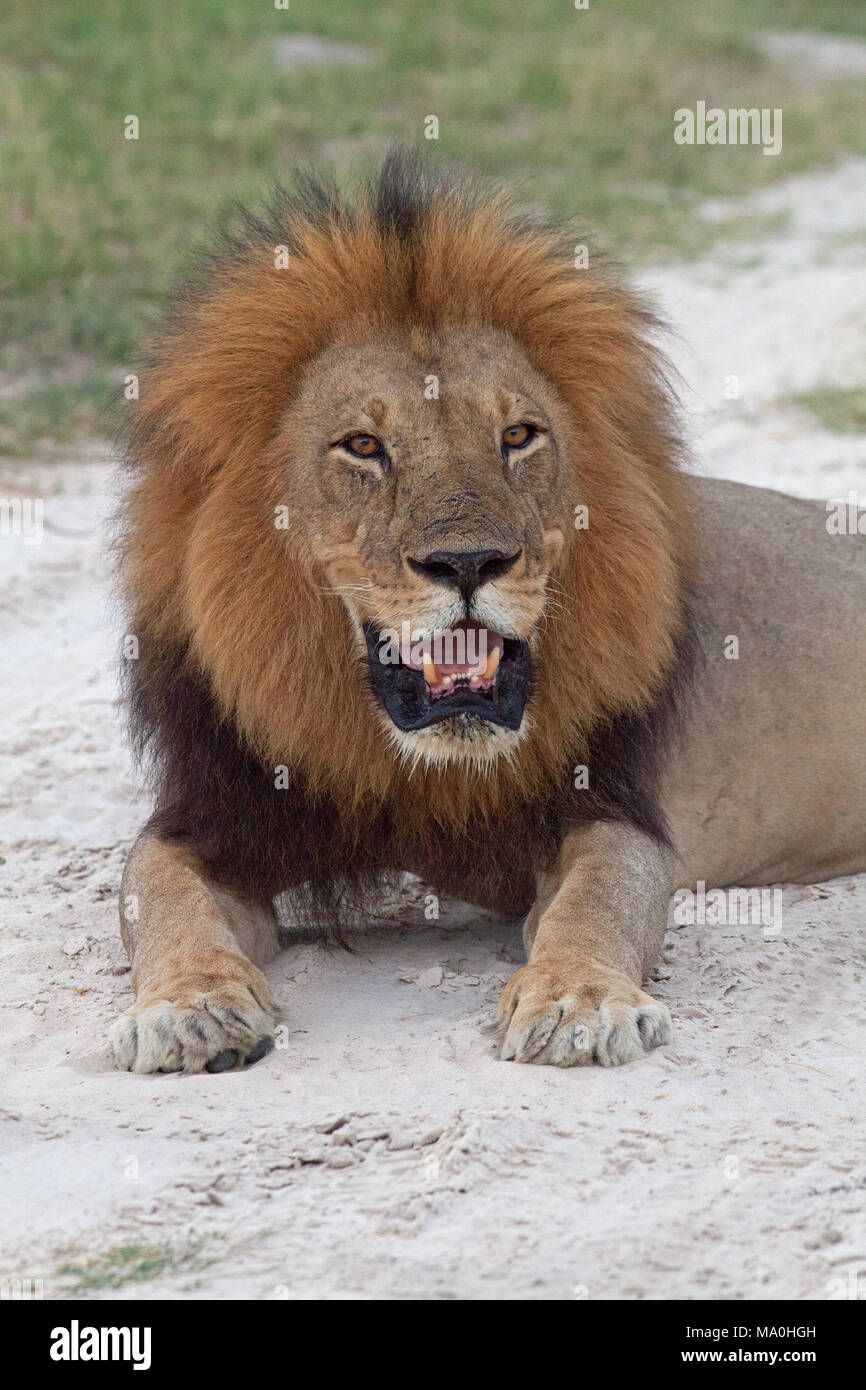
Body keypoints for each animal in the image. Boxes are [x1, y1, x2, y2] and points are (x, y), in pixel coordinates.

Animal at [109, 152, 866, 1073]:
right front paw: (191, 1007)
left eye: (518, 435)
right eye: (363, 447)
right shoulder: (211, 816)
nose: (467, 563)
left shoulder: (609, 809)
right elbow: (158, 896)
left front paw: (578, 1001)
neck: (418, 769)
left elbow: (597, 902)